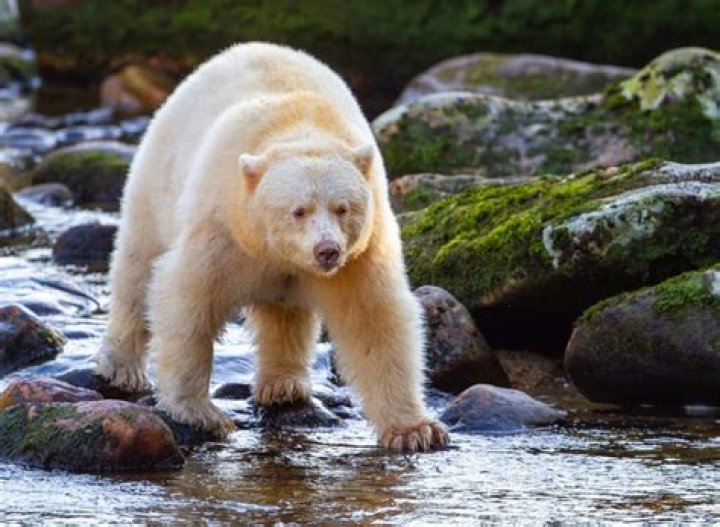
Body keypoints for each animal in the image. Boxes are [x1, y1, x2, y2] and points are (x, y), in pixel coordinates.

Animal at [94, 42, 449, 452]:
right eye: (299, 210)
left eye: (343, 208)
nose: (327, 250)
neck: (301, 129)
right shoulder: (223, 227)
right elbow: (188, 299)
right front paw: (201, 413)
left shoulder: (361, 253)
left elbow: (374, 320)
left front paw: (415, 430)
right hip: (157, 178)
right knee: (137, 267)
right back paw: (121, 368)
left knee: (284, 314)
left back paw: (283, 385)